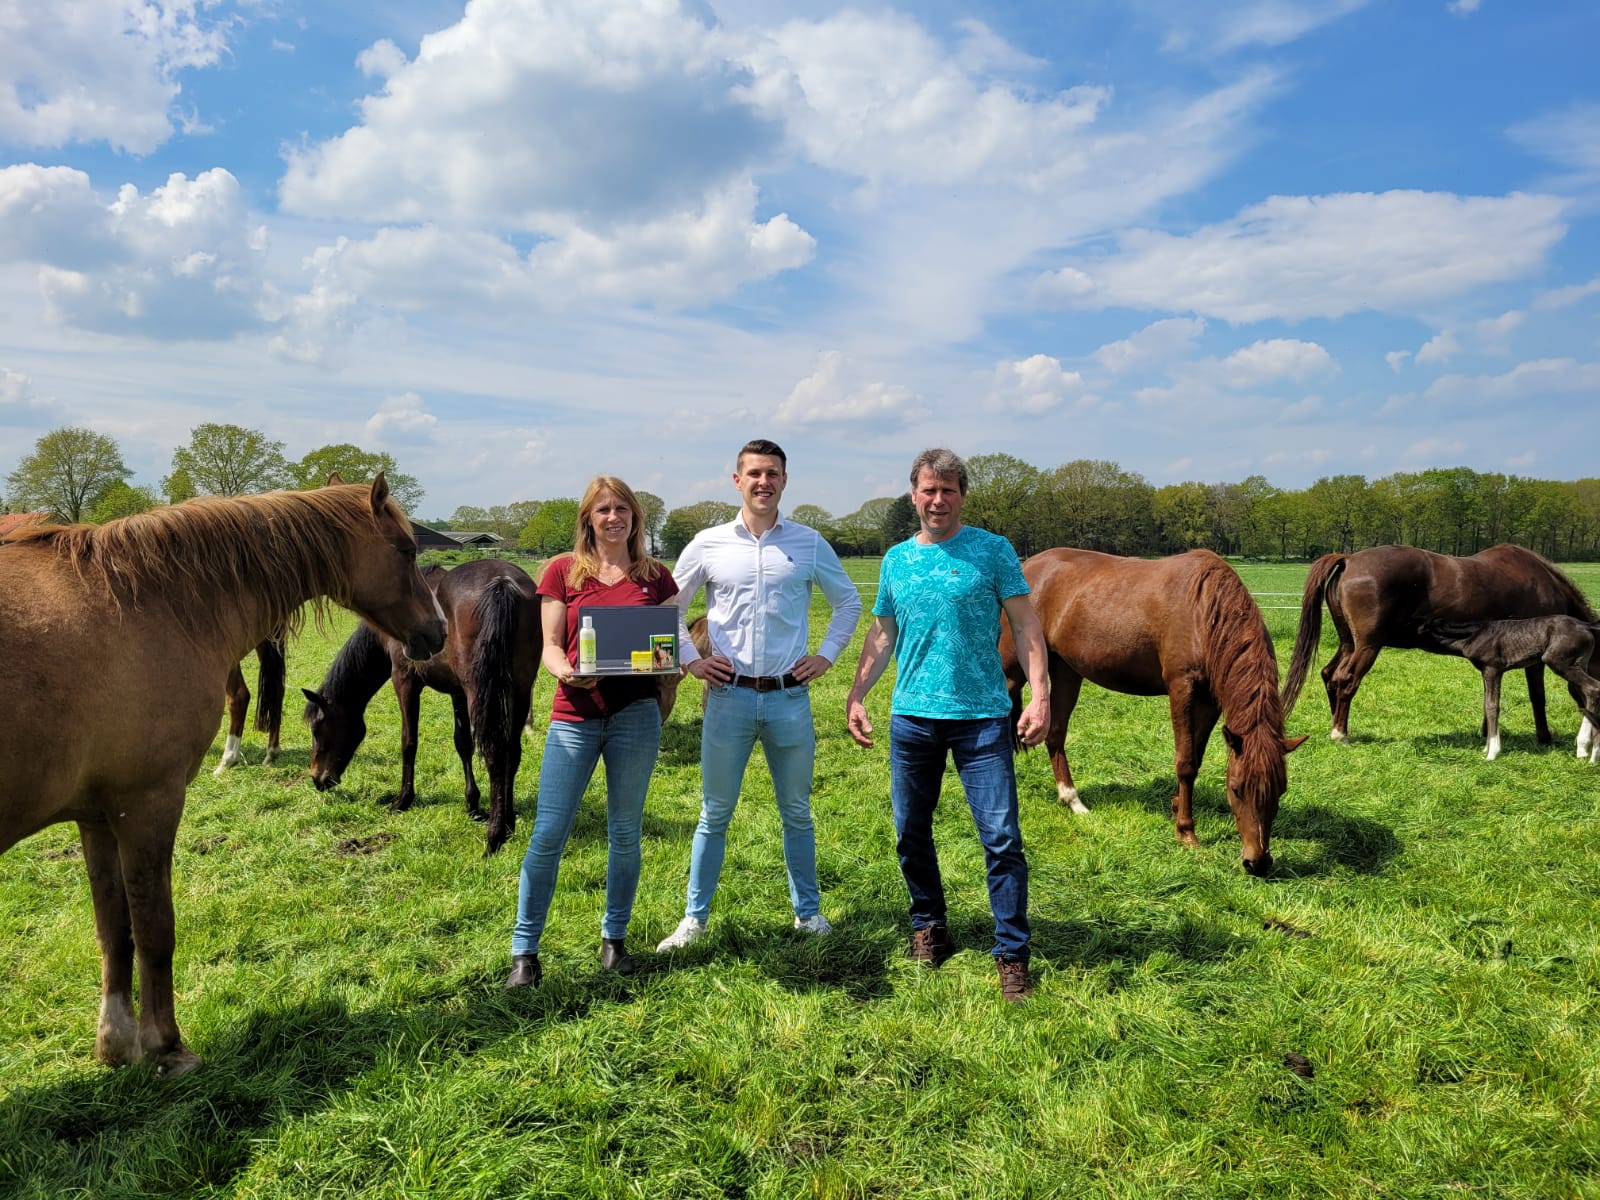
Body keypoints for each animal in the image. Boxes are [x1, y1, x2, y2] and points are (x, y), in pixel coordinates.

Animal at [0, 476, 448, 1081]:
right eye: (405, 551)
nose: (438, 631)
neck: (148, 601)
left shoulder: (97, 815)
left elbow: (114, 930)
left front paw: (115, 1045)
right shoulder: (148, 804)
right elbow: (154, 929)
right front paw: (164, 1046)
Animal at [302, 556, 540, 857]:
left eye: (317, 729)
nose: (317, 778)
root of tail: (502, 583)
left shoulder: (404, 681)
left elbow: (409, 742)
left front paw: (403, 800)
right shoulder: (457, 692)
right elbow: (463, 743)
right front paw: (472, 804)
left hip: (481, 692)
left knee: (495, 754)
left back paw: (495, 837)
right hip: (519, 690)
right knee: (512, 751)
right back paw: (507, 822)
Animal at [1004, 550, 1305, 876]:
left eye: (1281, 789)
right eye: (1236, 789)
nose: (1257, 863)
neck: (1204, 611)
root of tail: (1029, 565)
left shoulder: (1211, 700)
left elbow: (1196, 756)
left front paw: (1176, 805)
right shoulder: (1181, 688)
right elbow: (1185, 762)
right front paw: (1186, 831)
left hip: (1066, 671)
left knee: (1055, 734)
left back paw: (1073, 801)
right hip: (1014, 670)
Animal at [1273, 547, 1600, 752]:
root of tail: (1349, 560)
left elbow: (1491, 697)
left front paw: (1486, 733)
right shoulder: (1535, 660)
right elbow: (1537, 698)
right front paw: (1544, 737)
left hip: (1348, 643)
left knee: (1330, 675)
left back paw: (1337, 725)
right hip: (1367, 646)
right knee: (1346, 681)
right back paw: (1340, 734)